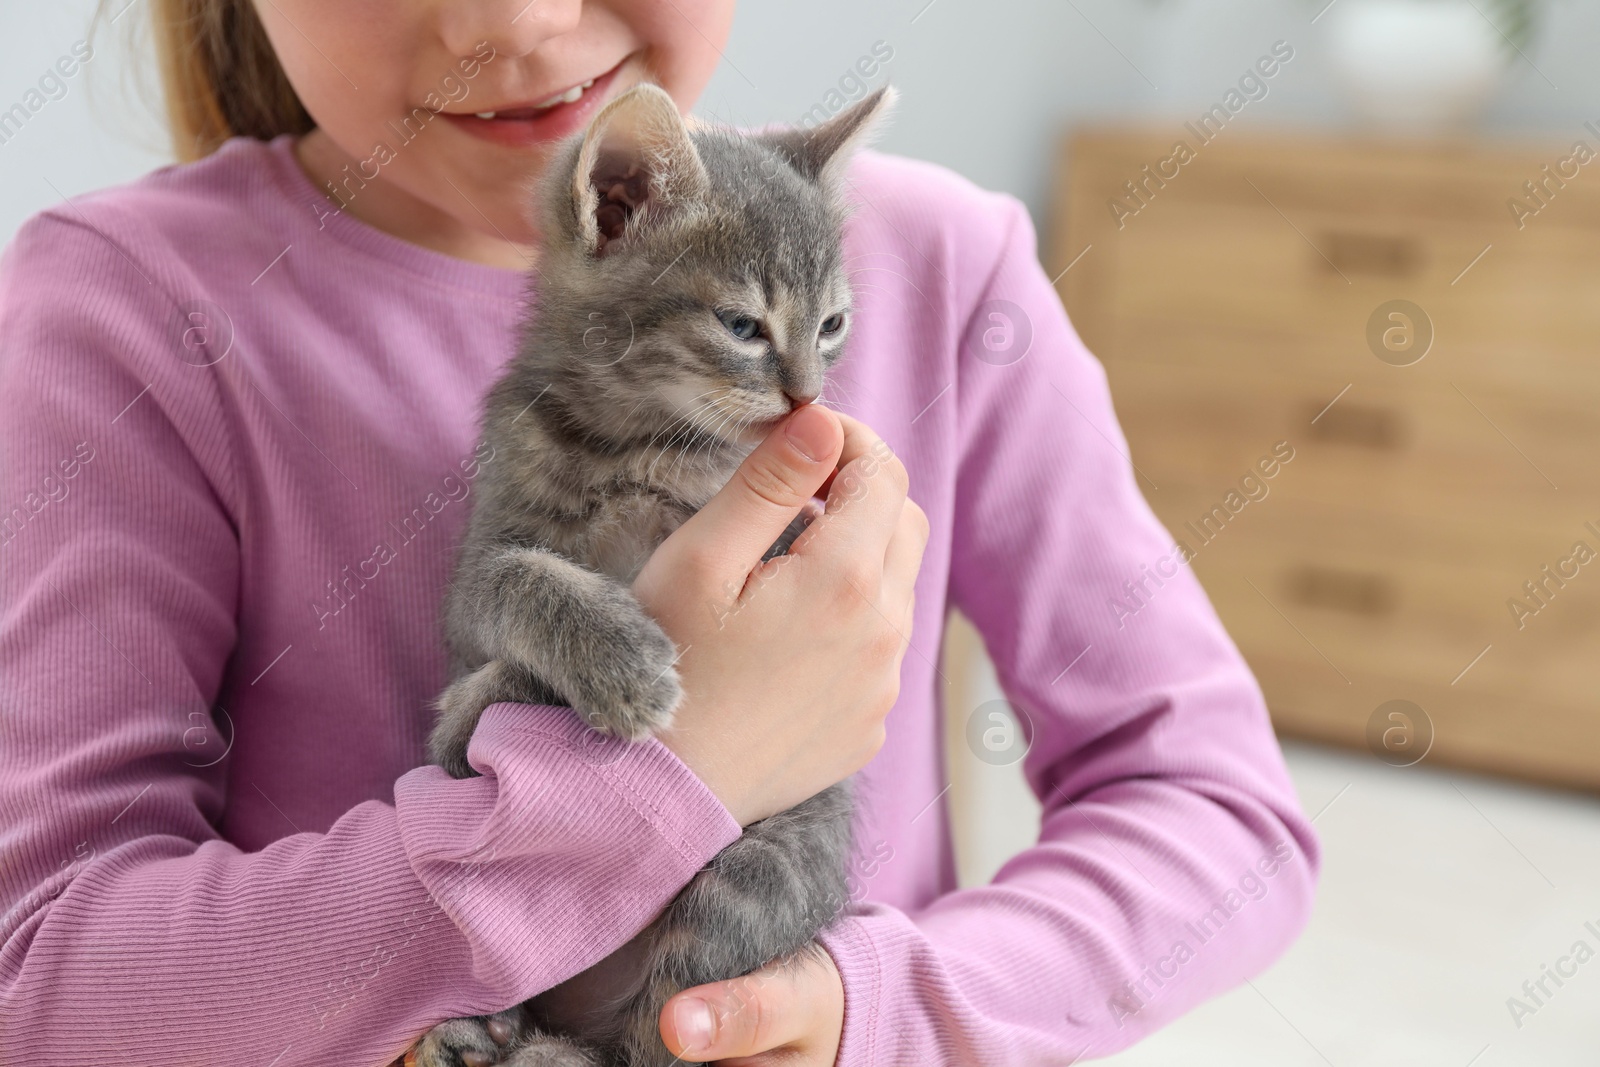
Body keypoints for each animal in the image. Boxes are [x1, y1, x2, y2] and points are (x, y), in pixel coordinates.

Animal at [419, 81, 896, 1067]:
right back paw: (479, 1029)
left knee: (659, 1038)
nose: (807, 397)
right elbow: (521, 582)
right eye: (742, 325)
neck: (635, 440)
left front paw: (492, 699)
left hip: (755, 876)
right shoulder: (484, 557)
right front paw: (617, 657)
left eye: (832, 325)